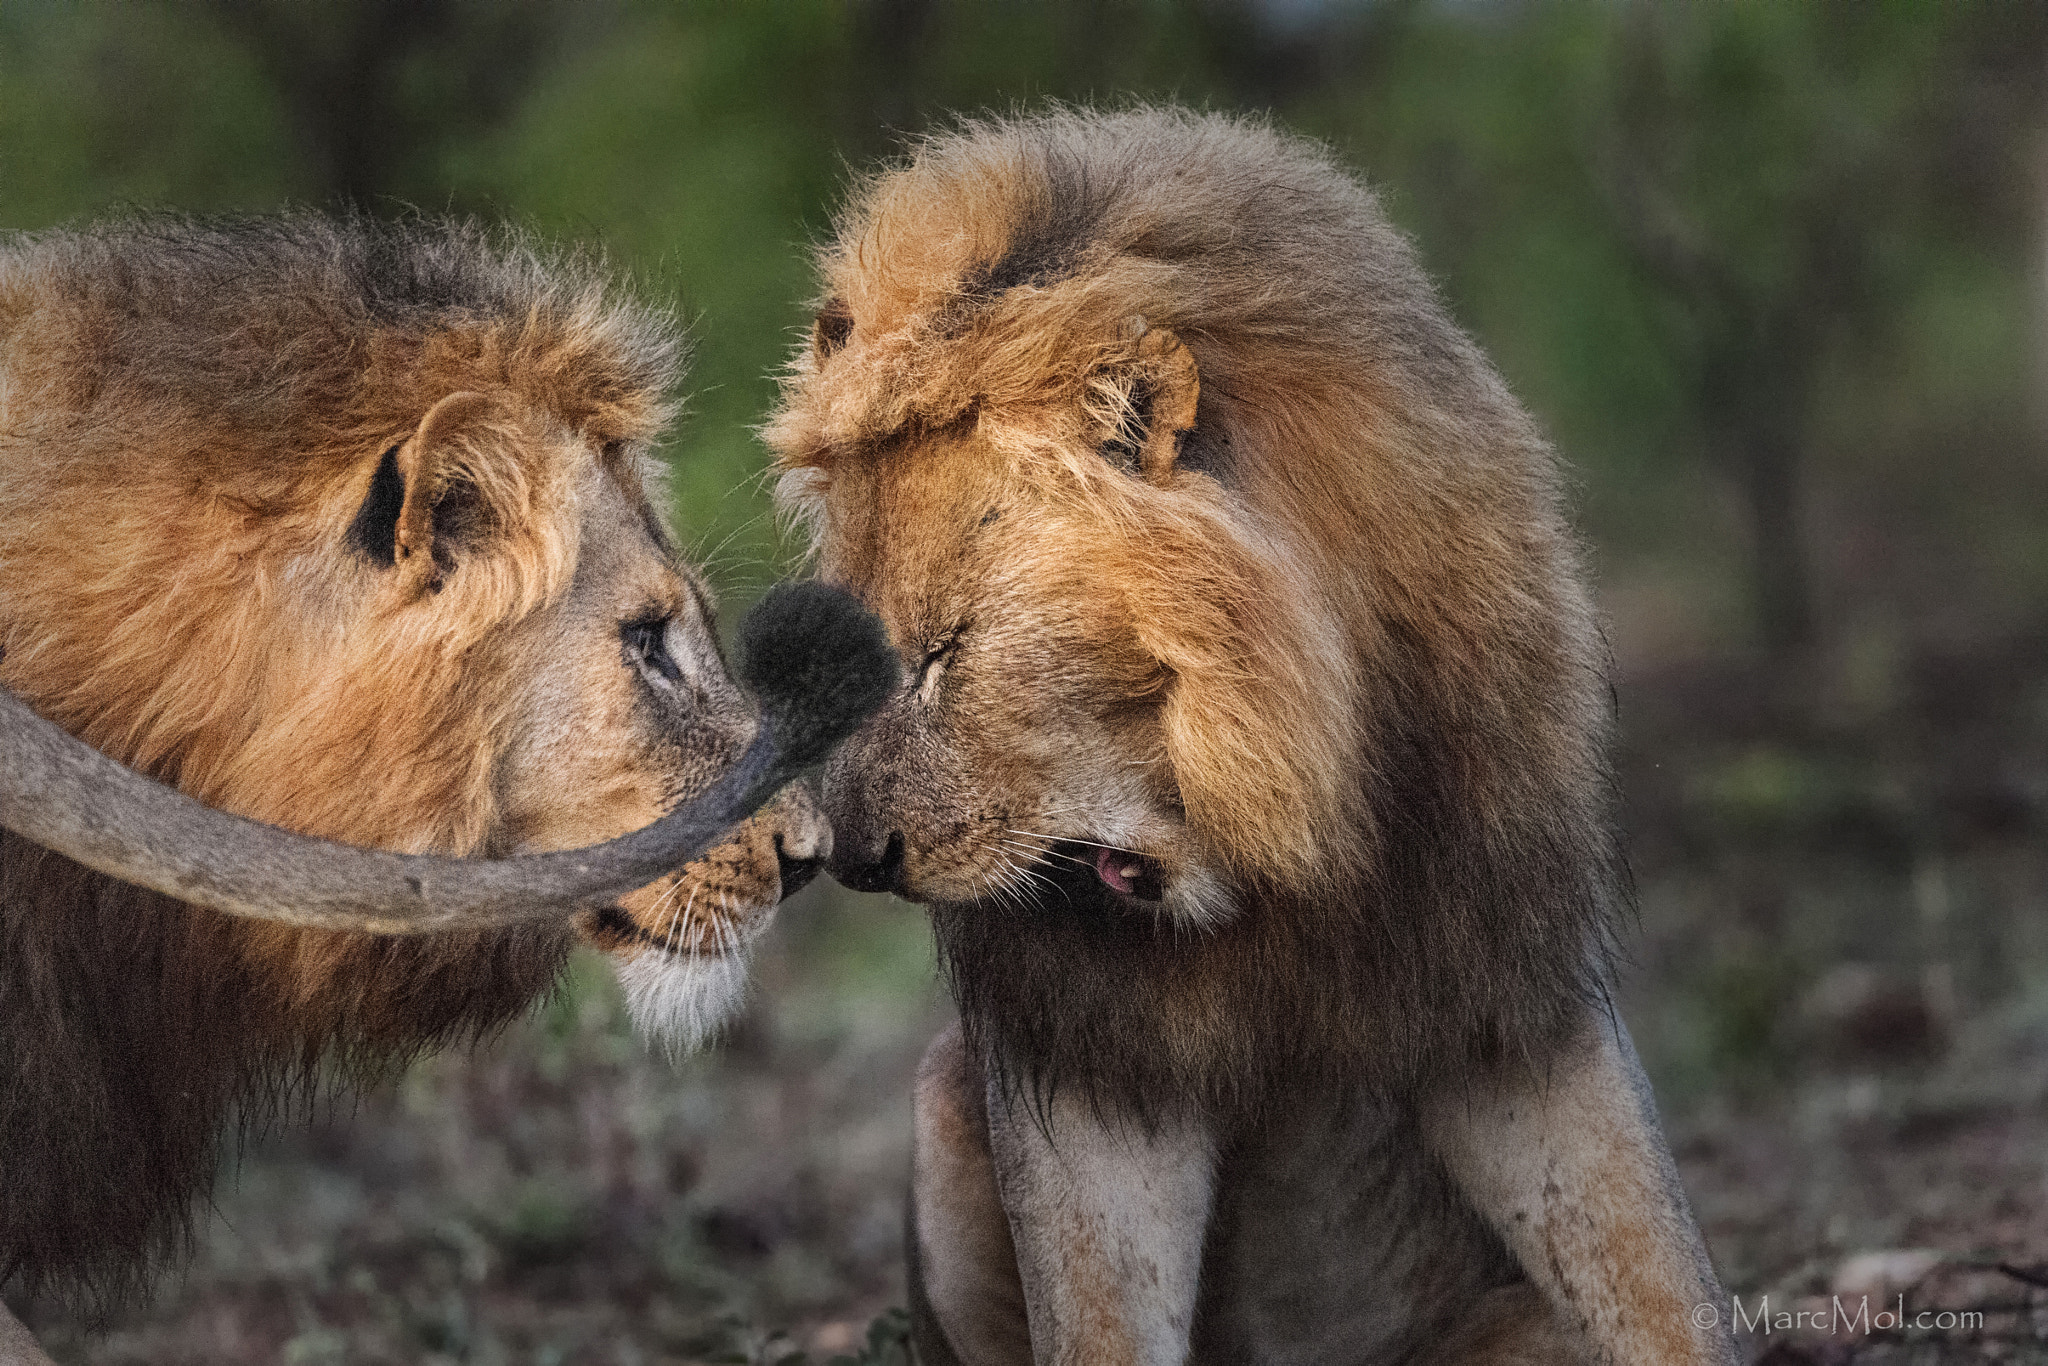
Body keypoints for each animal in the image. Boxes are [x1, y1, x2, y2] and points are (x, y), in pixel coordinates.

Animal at [770, 109, 1744, 1366]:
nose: (854, 862)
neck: (1276, 839)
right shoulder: (1086, 1058)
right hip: (944, 1091)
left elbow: (1656, 1269)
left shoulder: (1509, 978)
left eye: (946, 652)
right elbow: (1097, 1320)